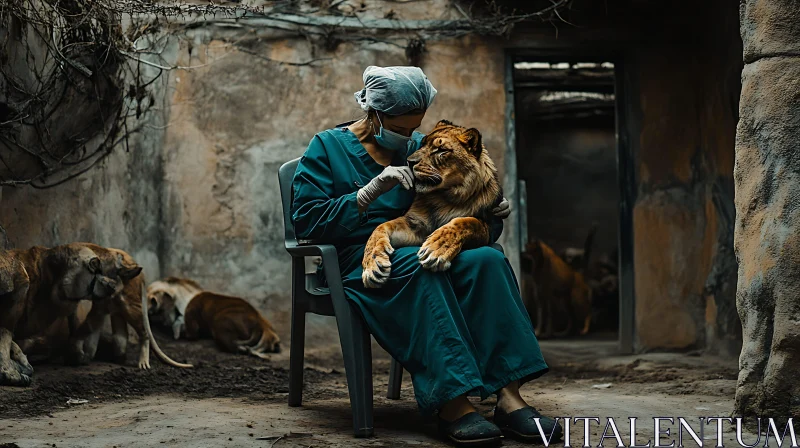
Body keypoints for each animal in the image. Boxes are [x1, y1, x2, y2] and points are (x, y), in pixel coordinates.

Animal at [147, 278, 282, 358]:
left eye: (150, 296)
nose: (148, 309)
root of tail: (260, 325)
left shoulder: (191, 324)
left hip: (219, 324)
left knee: (234, 346)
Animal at [360, 120, 500, 288]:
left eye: (441, 150)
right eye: (422, 144)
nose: (410, 161)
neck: (444, 198)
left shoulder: (489, 225)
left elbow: (466, 222)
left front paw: (436, 249)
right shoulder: (415, 225)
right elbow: (381, 227)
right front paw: (372, 265)